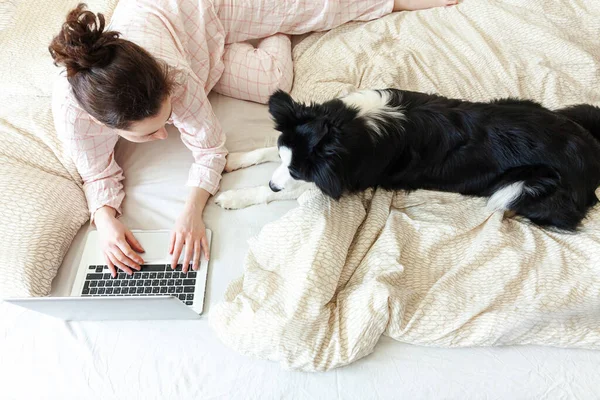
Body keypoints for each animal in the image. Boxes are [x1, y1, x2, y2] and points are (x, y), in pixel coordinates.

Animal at [217, 88, 600, 230]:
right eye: (288, 162)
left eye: (298, 172)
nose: (273, 183)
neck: (346, 127)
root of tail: (590, 149)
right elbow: (266, 148)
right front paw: (233, 158)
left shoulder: (344, 180)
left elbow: (286, 191)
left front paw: (237, 195)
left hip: (523, 188)